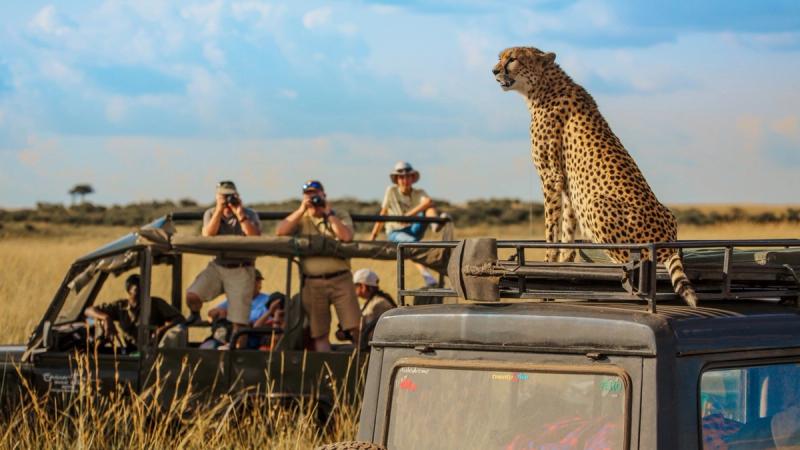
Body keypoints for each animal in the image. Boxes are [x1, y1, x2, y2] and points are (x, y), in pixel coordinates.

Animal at [492, 46, 698, 307]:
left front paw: (546, 265)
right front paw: (564, 267)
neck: (542, 86)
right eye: (499, 57)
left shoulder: (551, 177)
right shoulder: (569, 186)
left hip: (597, 204)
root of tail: (668, 242)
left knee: (628, 264)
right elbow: (567, 232)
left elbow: (551, 230)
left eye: (512, 59)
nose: (494, 70)